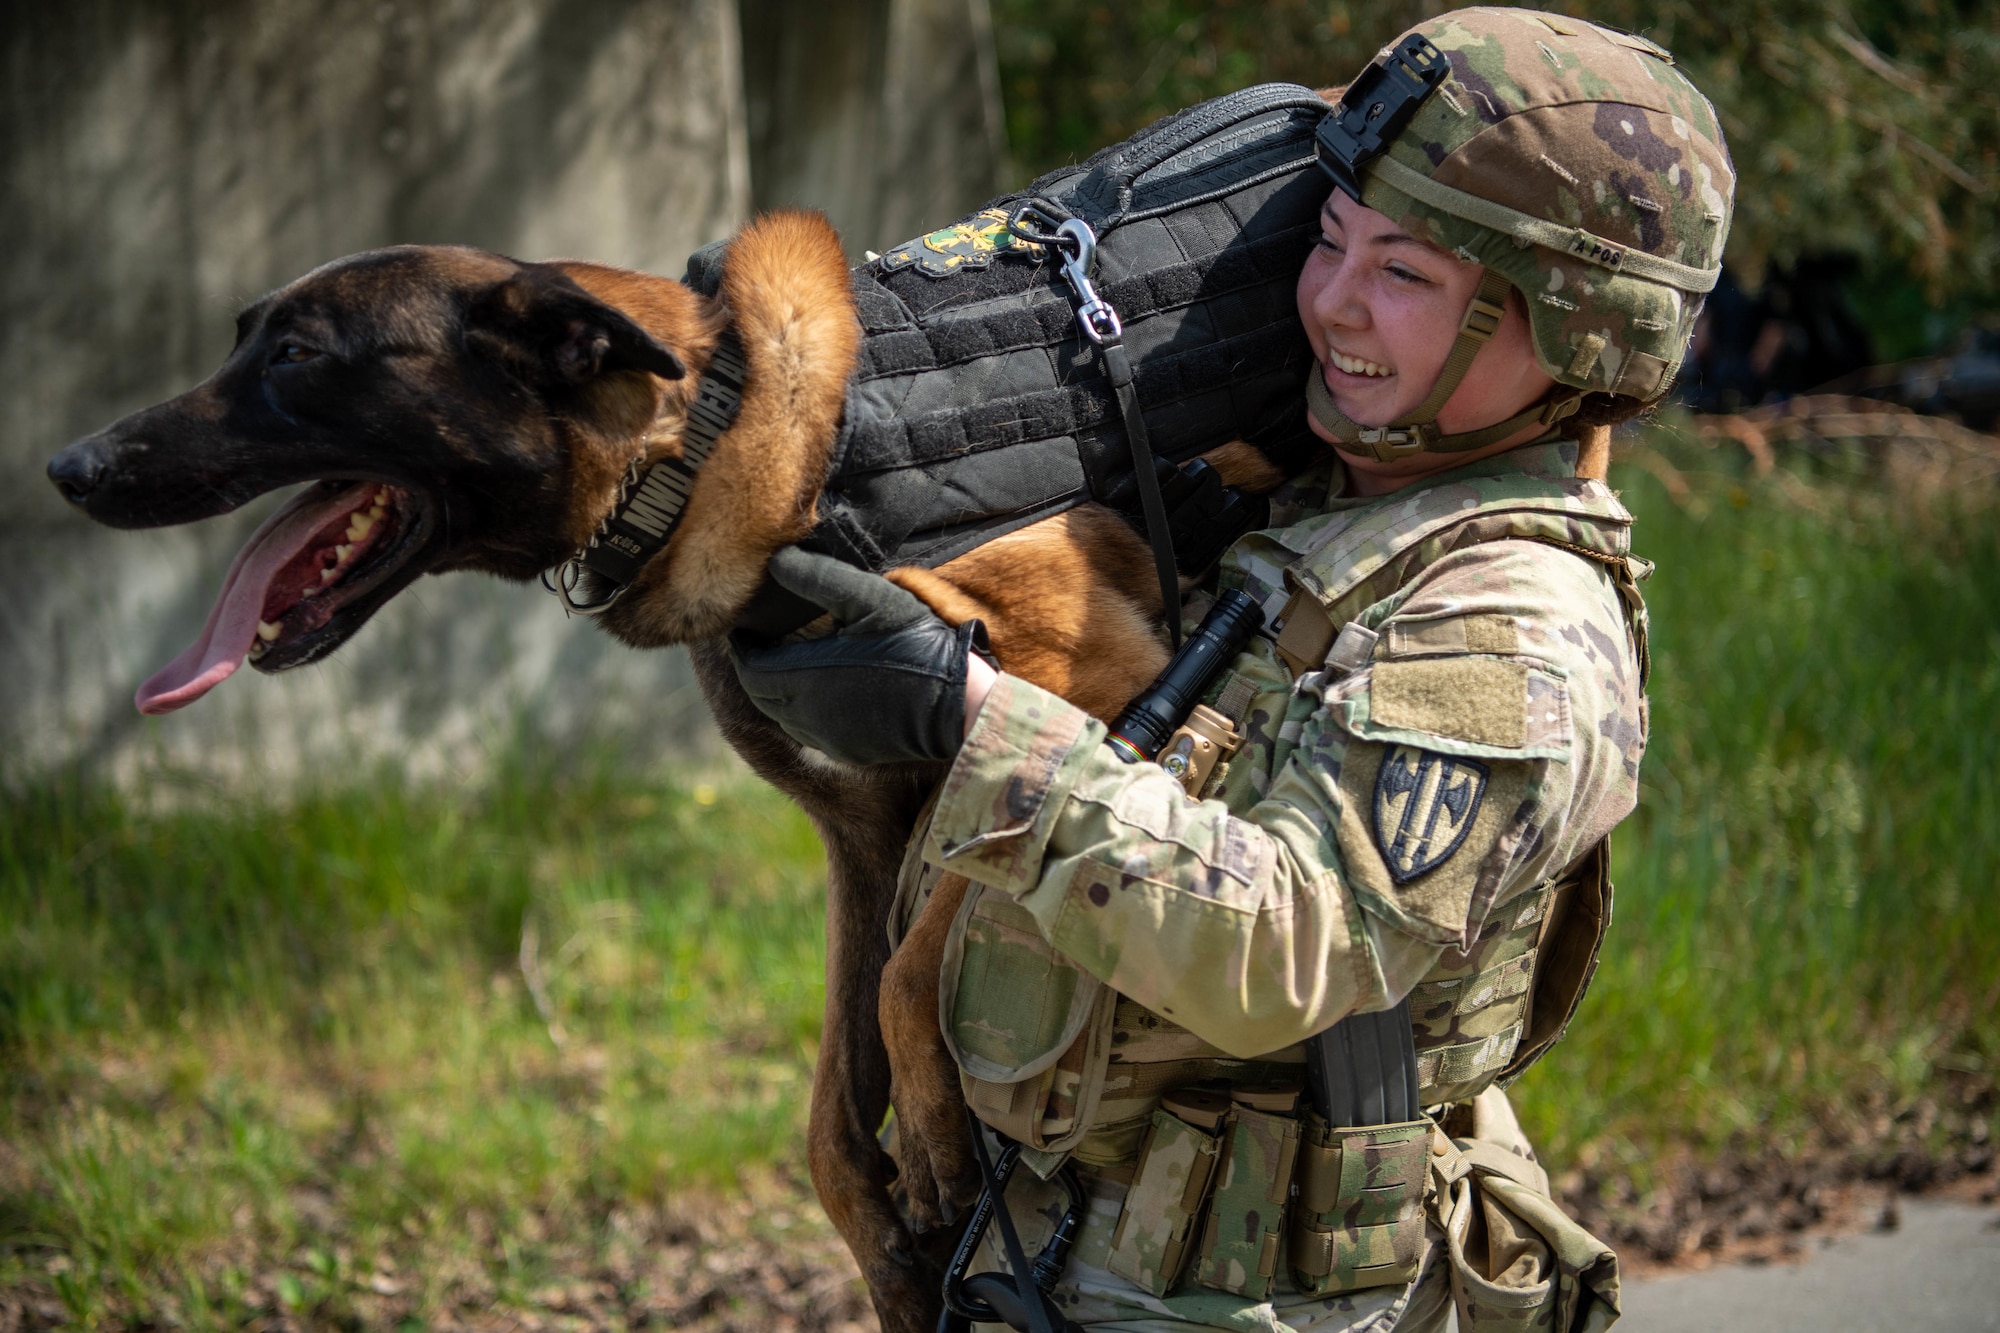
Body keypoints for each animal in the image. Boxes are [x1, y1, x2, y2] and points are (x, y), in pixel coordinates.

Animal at [58, 208, 1296, 1320]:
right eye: (244, 340)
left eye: (298, 356)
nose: (72, 465)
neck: (705, 433)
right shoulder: (861, 831)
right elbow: (829, 1113)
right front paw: (884, 1240)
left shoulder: (1101, 694)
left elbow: (925, 946)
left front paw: (933, 1135)